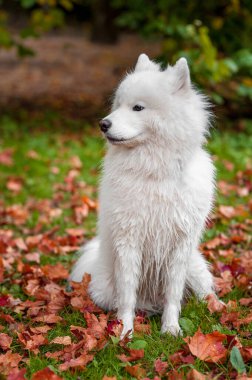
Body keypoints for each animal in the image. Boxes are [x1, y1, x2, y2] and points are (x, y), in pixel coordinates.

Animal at [71, 54, 215, 338]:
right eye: (119, 105)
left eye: (138, 108)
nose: (103, 124)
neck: (155, 172)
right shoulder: (129, 241)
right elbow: (127, 296)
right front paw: (124, 333)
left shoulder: (180, 246)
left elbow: (173, 294)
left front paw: (170, 329)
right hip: (105, 290)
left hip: (195, 268)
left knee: (206, 294)